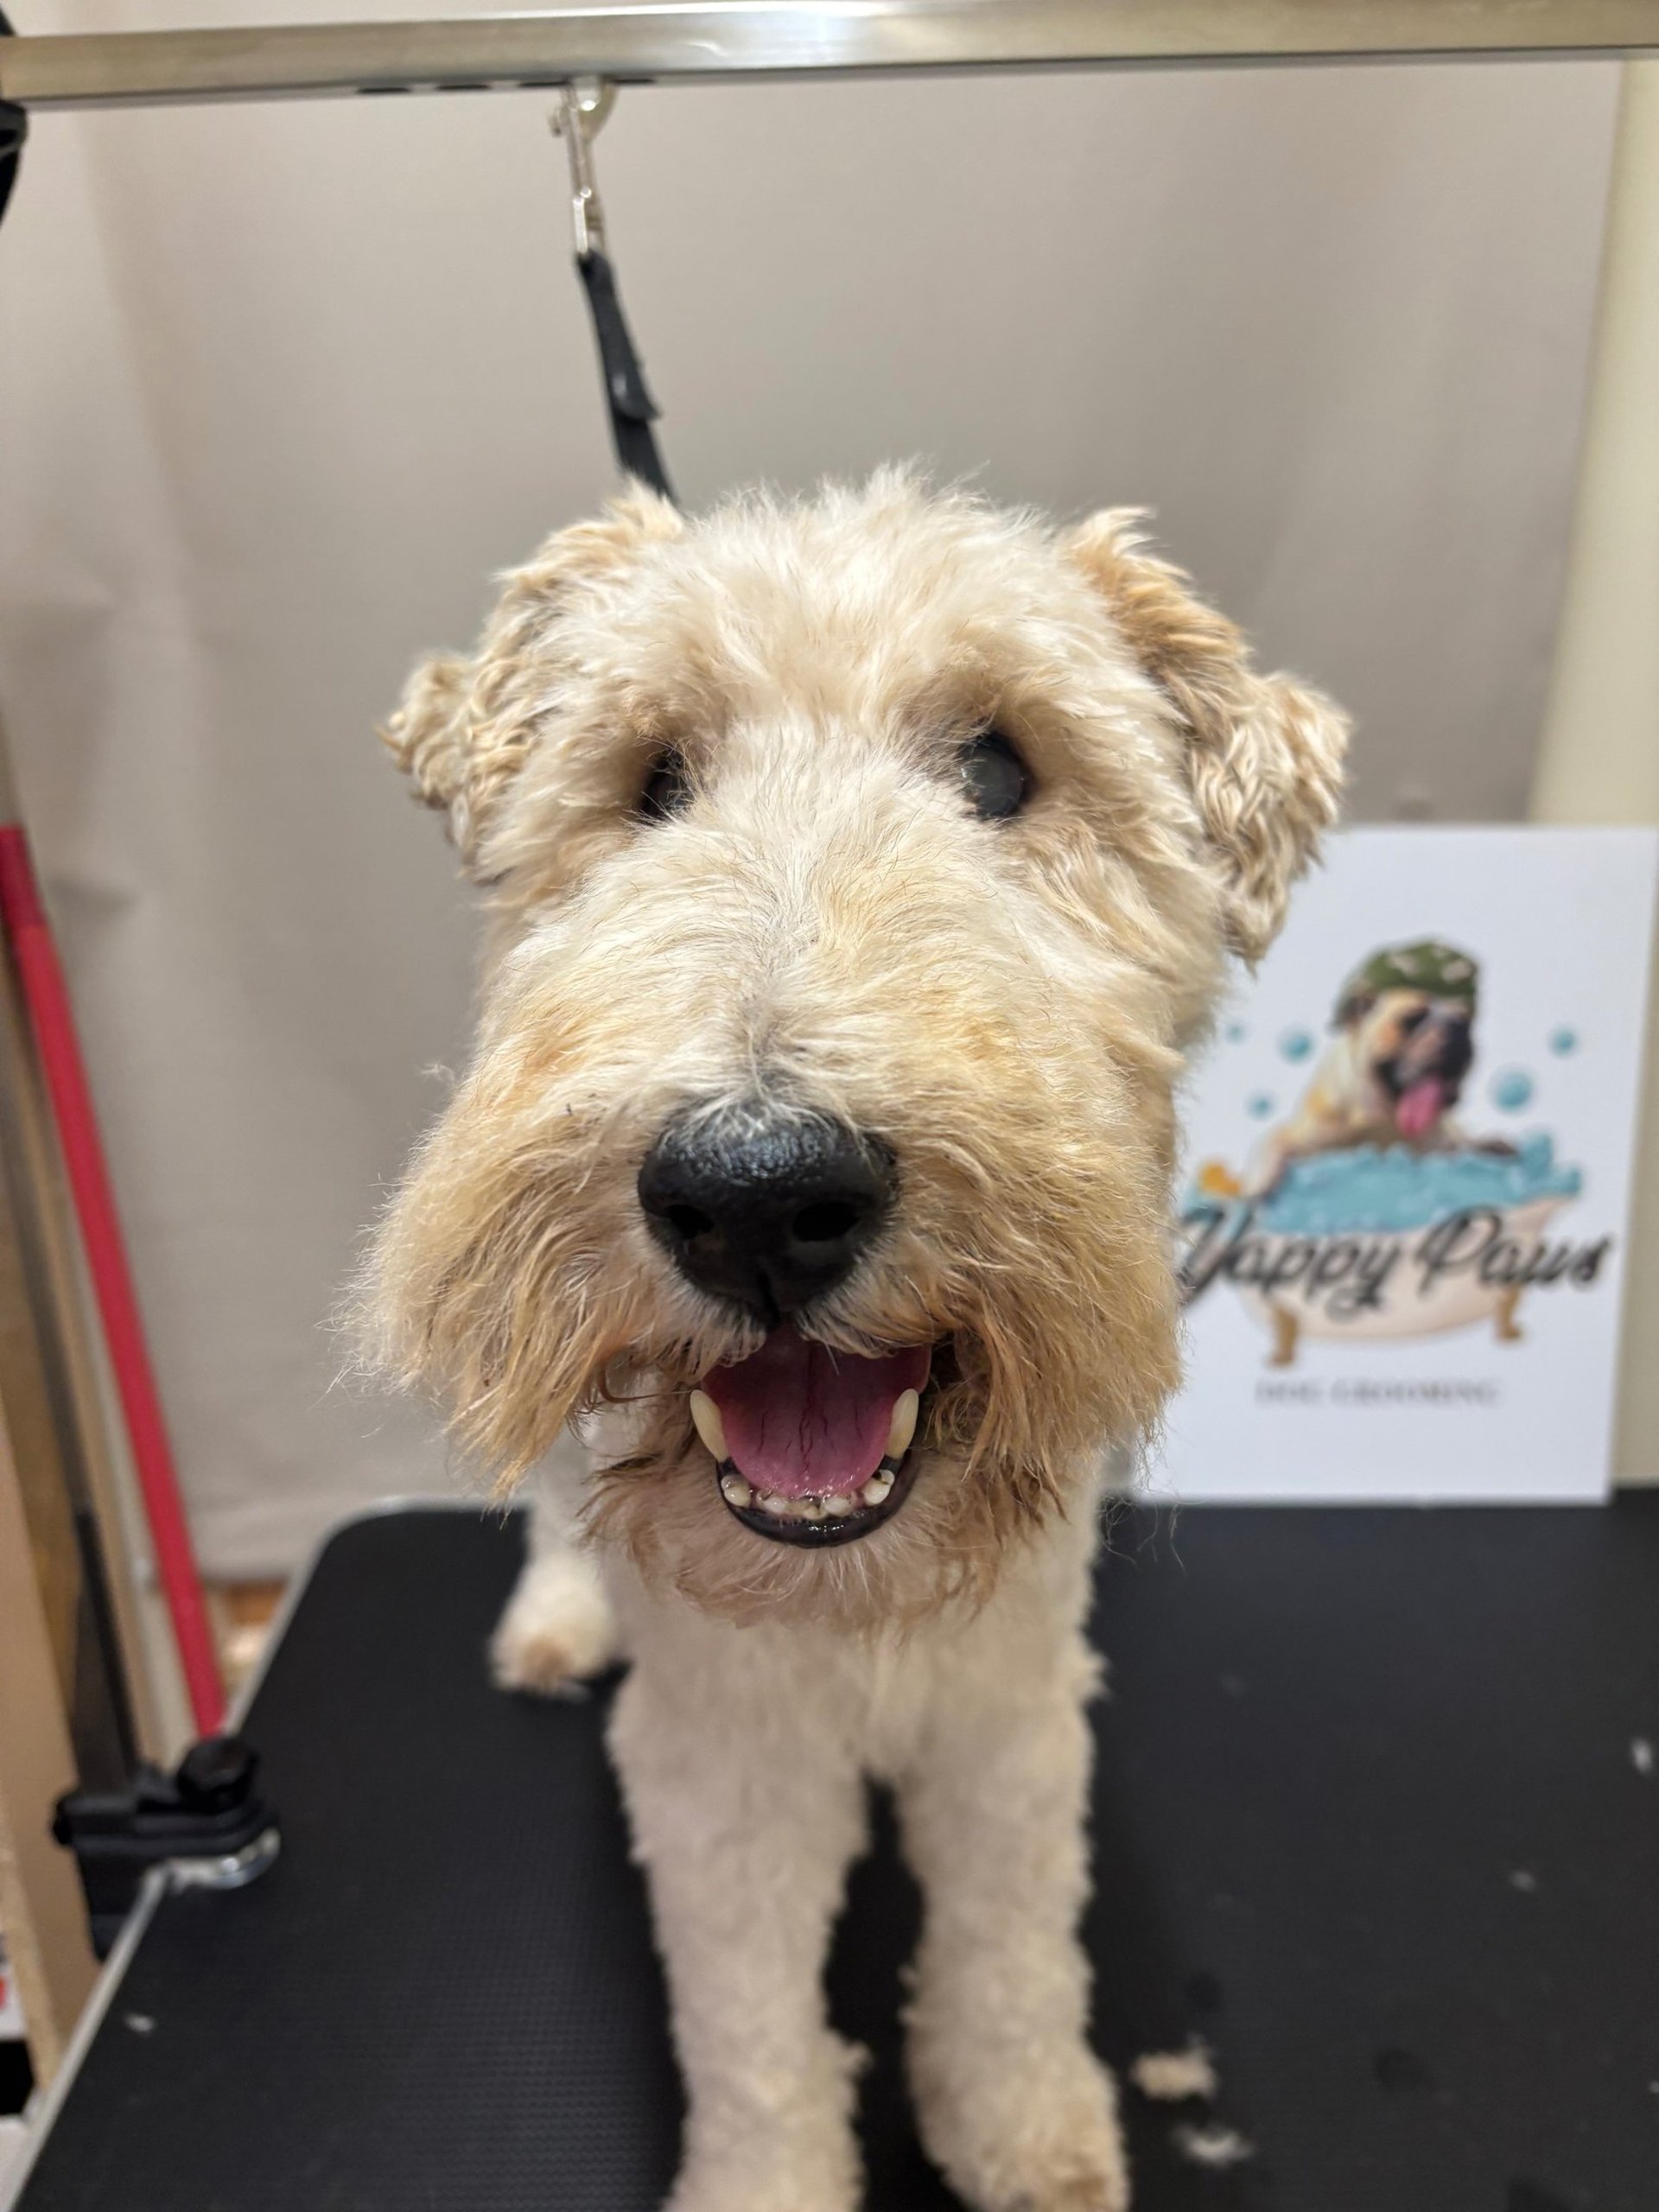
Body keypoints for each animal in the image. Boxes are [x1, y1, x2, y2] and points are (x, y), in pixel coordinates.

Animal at [362, 480, 1353, 2212]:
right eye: (653, 781)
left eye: (1004, 769)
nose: (756, 1189)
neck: (859, 1590)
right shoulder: (725, 1768)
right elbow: (754, 2034)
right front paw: (772, 2180)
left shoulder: (1012, 1724)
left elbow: (1012, 1955)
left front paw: (1027, 2134)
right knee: (554, 1499)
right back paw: (557, 1616)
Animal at [1247, 942, 1478, 1203]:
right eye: (1412, 1020)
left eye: (1467, 1021)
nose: (1457, 1027)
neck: (1383, 1121)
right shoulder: (1301, 1136)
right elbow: (1273, 1143)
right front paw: (1259, 1183)